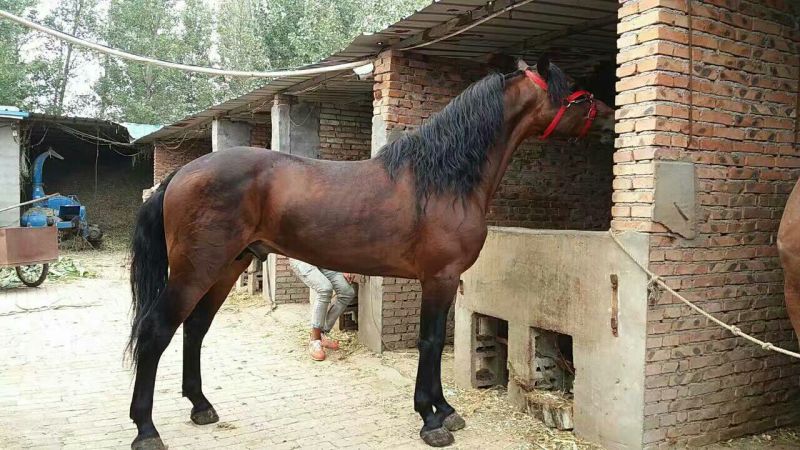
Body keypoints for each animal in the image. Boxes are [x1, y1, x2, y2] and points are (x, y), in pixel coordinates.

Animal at [127, 55, 614, 449]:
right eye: (578, 92)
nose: (610, 118)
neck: (442, 179)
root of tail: (182, 173)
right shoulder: (440, 277)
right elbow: (430, 341)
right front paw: (430, 420)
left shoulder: (444, 279)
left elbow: (434, 343)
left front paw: (445, 411)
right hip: (196, 269)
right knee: (156, 331)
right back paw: (147, 430)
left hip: (229, 266)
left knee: (195, 328)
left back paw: (201, 406)